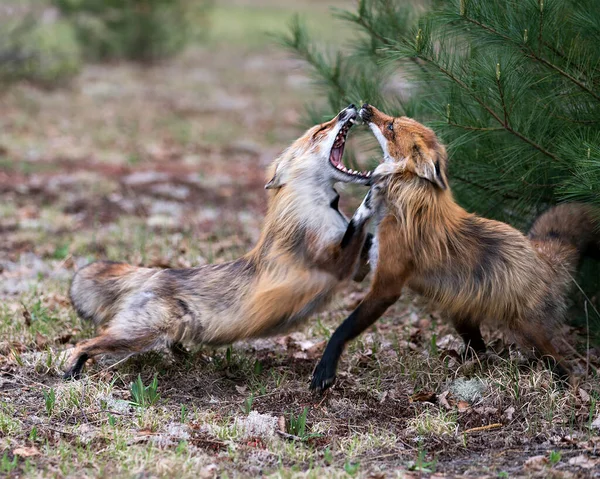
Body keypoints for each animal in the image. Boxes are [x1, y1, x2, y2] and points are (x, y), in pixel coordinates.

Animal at [63, 105, 378, 378]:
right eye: (319, 131)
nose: (349, 107)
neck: (320, 209)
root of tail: (156, 272)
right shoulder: (331, 262)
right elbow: (356, 228)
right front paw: (372, 198)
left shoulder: (353, 270)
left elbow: (365, 248)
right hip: (138, 334)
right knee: (83, 344)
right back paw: (71, 371)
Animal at [312, 103, 596, 392]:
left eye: (390, 126)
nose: (364, 106)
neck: (403, 197)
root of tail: (541, 254)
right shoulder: (377, 252)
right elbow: (361, 240)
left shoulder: (387, 286)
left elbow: (343, 329)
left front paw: (325, 367)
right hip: (464, 319)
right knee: (481, 350)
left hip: (528, 332)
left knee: (561, 364)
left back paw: (562, 384)